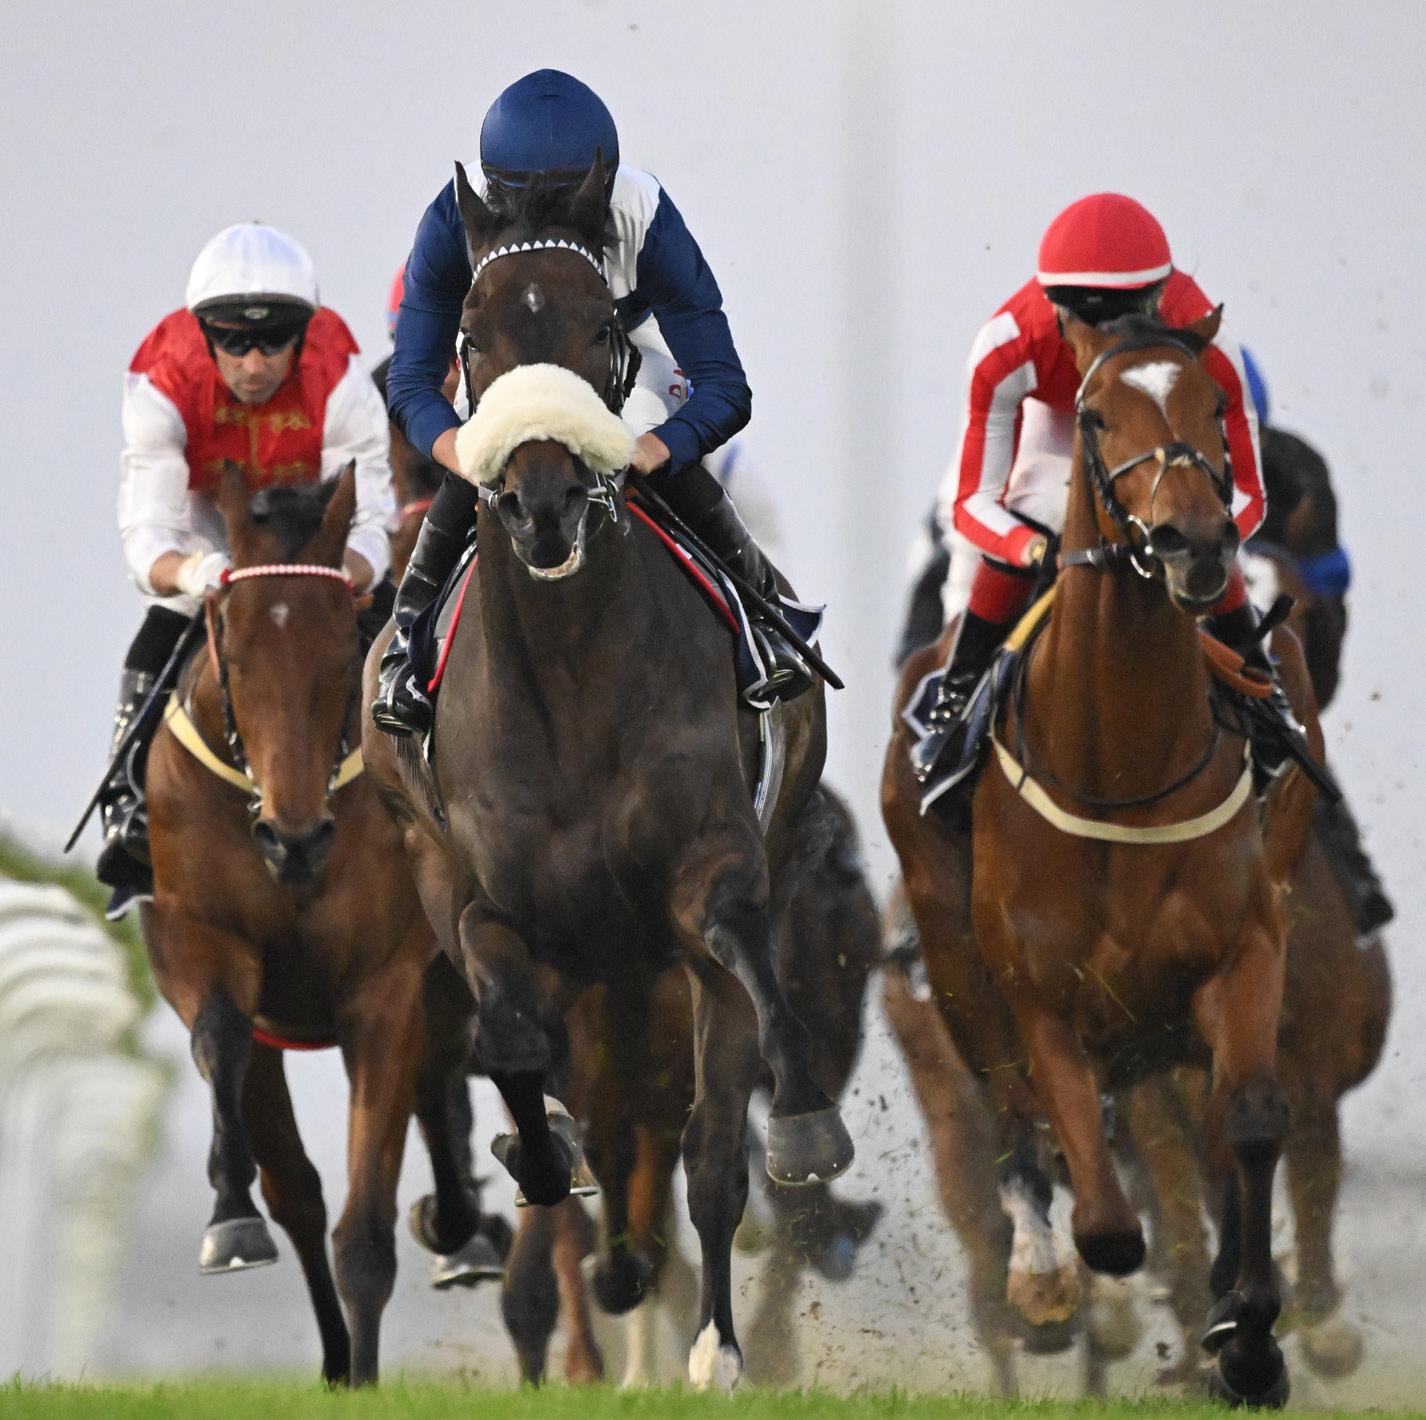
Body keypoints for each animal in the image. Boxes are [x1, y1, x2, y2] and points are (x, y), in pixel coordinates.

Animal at [140, 467, 498, 1384]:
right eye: (231, 646)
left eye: (341, 647)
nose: (294, 838)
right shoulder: (198, 941)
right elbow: (228, 1044)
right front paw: (231, 1217)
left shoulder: (384, 989)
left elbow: (365, 1229)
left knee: (447, 1079)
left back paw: (472, 1222)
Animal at [361, 160, 852, 1390]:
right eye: (472, 335)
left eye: (598, 326)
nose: (540, 503)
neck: (573, 670)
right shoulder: (481, 900)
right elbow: (509, 1039)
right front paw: (540, 1158)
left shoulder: (712, 870)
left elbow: (742, 968)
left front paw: (805, 1125)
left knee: (708, 1145)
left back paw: (716, 1341)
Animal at [883, 308, 1321, 1406]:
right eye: (1093, 413)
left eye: (1212, 402)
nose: (1193, 540)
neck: (1121, 756)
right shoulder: (1039, 994)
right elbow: (1106, 1218)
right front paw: (1074, 1286)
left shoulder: (1245, 945)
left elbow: (1248, 1122)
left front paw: (1247, 1335)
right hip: (952, 958)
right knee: (1012, 1118)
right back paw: (1041, 1275)